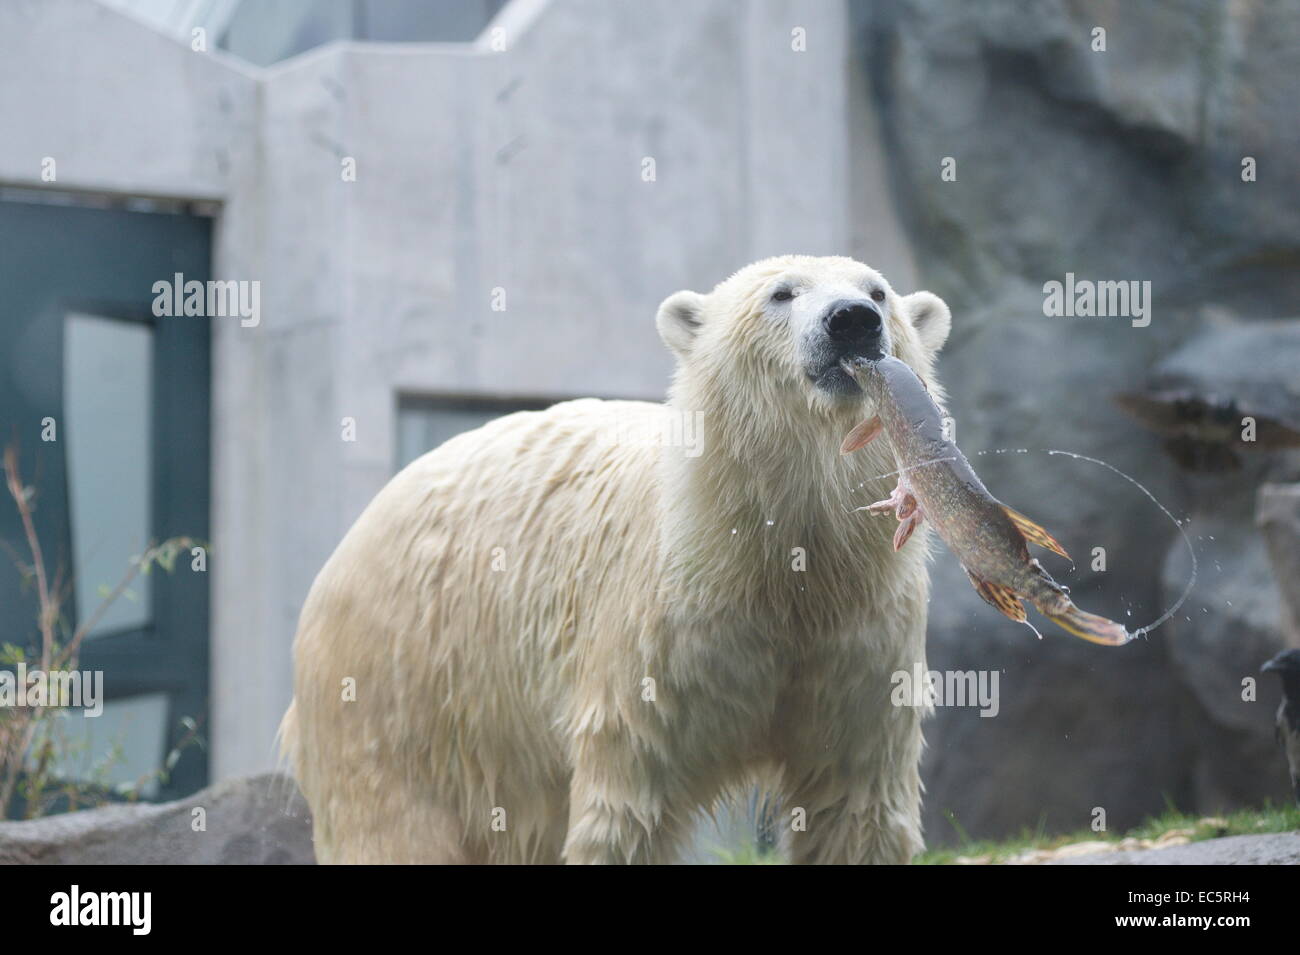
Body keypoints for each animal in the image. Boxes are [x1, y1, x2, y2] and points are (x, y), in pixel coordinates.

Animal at [280, 255, 952, 864]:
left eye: (878, 290)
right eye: (781, 293)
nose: (852, 319)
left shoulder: (858, 638)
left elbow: (854, 799)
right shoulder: (656, 639)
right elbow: (631, 800)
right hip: (400, 677)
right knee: (393, 817)